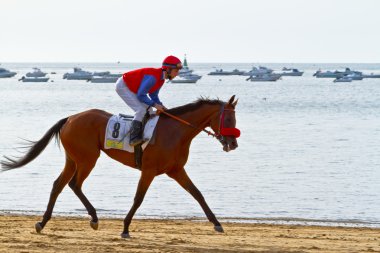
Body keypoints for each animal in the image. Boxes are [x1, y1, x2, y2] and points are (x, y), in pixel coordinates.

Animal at [0, 95, 240, 237]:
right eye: (229, 120)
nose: (233, 144)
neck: (176, 131)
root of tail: (70, 118)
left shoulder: (176, 170)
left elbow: (197, 194)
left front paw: (217, 223)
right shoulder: (149, 170)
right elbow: (138, 198)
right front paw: (125, 228)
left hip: (73, 159)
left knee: (58, 185)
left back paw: (43, 222)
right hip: (88, 158)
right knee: (74, 184)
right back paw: (93, 218)